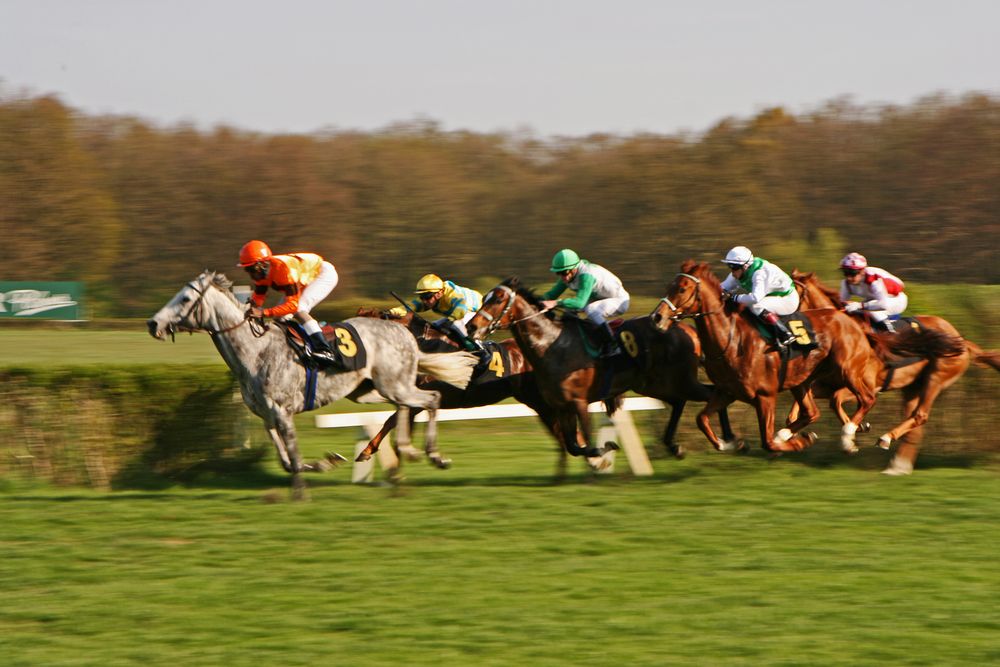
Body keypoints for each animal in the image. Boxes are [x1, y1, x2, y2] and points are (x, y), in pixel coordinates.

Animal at [146, 270, 478, 496]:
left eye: (185, 299)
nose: (152, 323)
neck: (256, 350)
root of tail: (406, 334)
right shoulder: (266, 415)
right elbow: (286, 459)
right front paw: (325, 462)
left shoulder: (282, 411)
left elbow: (292, 454)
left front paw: (300, 491)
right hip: (371, 390)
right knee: (404, 407)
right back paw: (405, 449)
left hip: (391, 384)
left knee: (431, 398)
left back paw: (432, 455)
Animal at [464, 278, 740, 464]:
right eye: (486, 297)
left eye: (498, 299)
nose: (471, 327)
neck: (551, 346)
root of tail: (687, 328)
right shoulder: (561, 406)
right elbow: (574, 446)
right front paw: (605, 448)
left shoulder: (578, 402)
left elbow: (586, 443)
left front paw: (605, 448)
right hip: (653, 383)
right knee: (681, 401)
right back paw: (676, 445)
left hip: (682, 380)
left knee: (716, 393)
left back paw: (727, 440)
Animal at [792, 268, 996, 472]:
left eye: (792, 293)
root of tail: (962, 341)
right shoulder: (826, 384)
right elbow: (805, 405)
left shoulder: (868, 386)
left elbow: (836, 400)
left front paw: (851, 436)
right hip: (911, 388)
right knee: (914, 424)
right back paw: (897, 467)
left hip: (936, 379)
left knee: (920, 415)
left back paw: (886, 440)